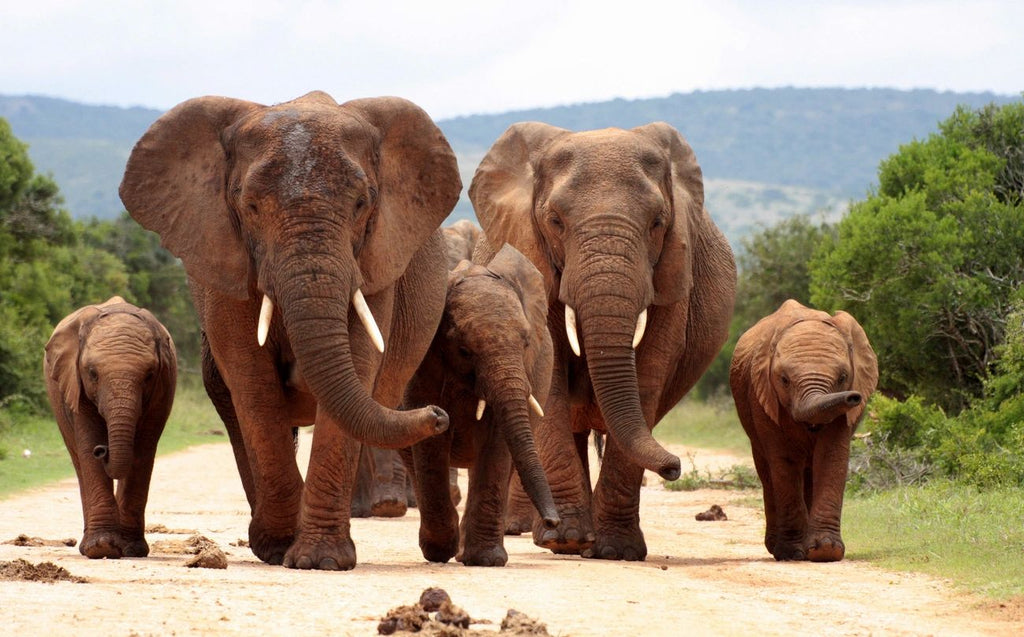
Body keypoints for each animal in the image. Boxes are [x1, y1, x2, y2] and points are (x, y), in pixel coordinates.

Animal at [43, 296, 177, 559]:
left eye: (149, 375)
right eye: (92, 373)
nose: (102, 450)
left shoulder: (163, 387)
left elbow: (143, 450)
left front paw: (132, 549)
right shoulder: (75, 383)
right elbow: (87, 443)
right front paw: (102, 548)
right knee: (78, 459)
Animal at [119, 91, 461, 570]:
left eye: (362, 204)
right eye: (250, 207)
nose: (439, 414)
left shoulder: (375, 261)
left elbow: (358, 365)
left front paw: (320, 560)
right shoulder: (224, 260)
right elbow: (252, 382)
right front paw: (282, 548)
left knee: (388, 410)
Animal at [403, 242, 559, 566]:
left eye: (526, 343)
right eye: (464, 350)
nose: (553, 522)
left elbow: (497, 441)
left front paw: (485, 559)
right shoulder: (422, 363)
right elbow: (431, 439)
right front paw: (441, 551)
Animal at [469, 122, 736, 560]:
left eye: (658, 222)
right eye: (555, 221)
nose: (675, 467)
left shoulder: (673, 275)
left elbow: (648, 375)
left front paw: (617, 551)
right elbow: (551, 376)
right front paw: (567, 541)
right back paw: (552, 534)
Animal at [729, 299, 878, 562]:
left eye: (843, 377)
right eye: (784, 380)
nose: (854, 397)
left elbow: (831, 456)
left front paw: (825, 551)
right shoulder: (763, 396)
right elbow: (784, 462)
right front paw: (792, 553)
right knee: (768, 471)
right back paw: (776, 548)